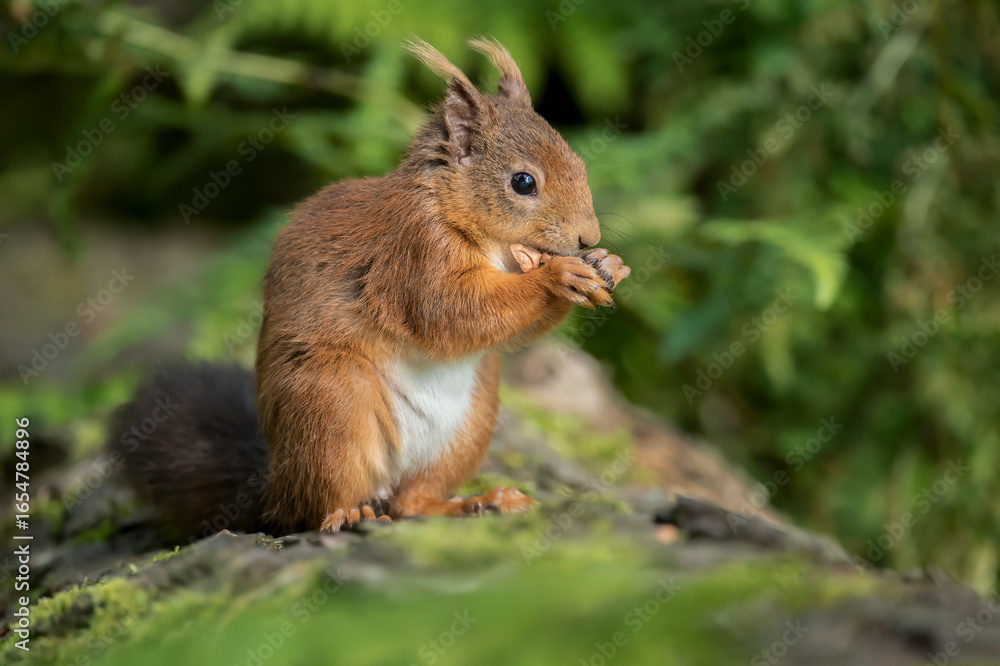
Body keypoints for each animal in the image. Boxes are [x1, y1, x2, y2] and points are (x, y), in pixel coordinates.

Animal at [109, 37, 631, 538]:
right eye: (523, 182)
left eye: (579, 163)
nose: (589, 238)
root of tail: (276, 488)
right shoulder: (413, 255)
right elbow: (451, 312)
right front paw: (558, 276)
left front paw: (607, 264)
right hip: (333, 405)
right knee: (321, 507)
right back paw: (348, 515)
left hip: (471, 419)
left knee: (412, 503)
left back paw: (478, 502)